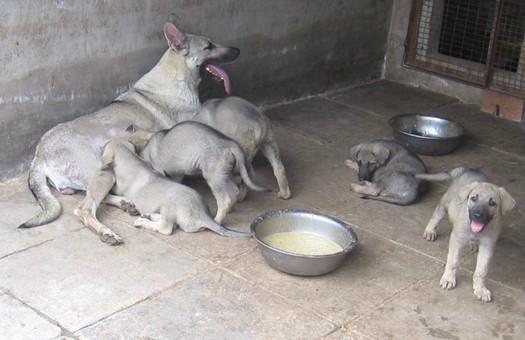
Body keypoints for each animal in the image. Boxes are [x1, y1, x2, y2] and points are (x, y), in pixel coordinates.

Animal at [20, 21, 239, 228]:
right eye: (208, 46)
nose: (238, 50)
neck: (177, 75)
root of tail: (39, 154)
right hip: (103, 172)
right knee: (86, 209)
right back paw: (109, 230)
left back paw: (126, 203)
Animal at [74, 138, 252, 244]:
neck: (130, 158)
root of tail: (204, 215)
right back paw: (141, 213)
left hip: (168, 205)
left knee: (166, 227)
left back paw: (140, 221)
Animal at [418, 168, 516, 302]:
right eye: (474, 198)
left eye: (492, 203)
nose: (477, 215)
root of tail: (467, 169)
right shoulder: (457, 239)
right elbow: (453, 261)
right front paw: (448, 279)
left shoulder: (488, 246)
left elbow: (481, 270)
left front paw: (480, 289)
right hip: (447, 202)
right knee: (437, 212)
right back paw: (430, 230)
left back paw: (473, 244)